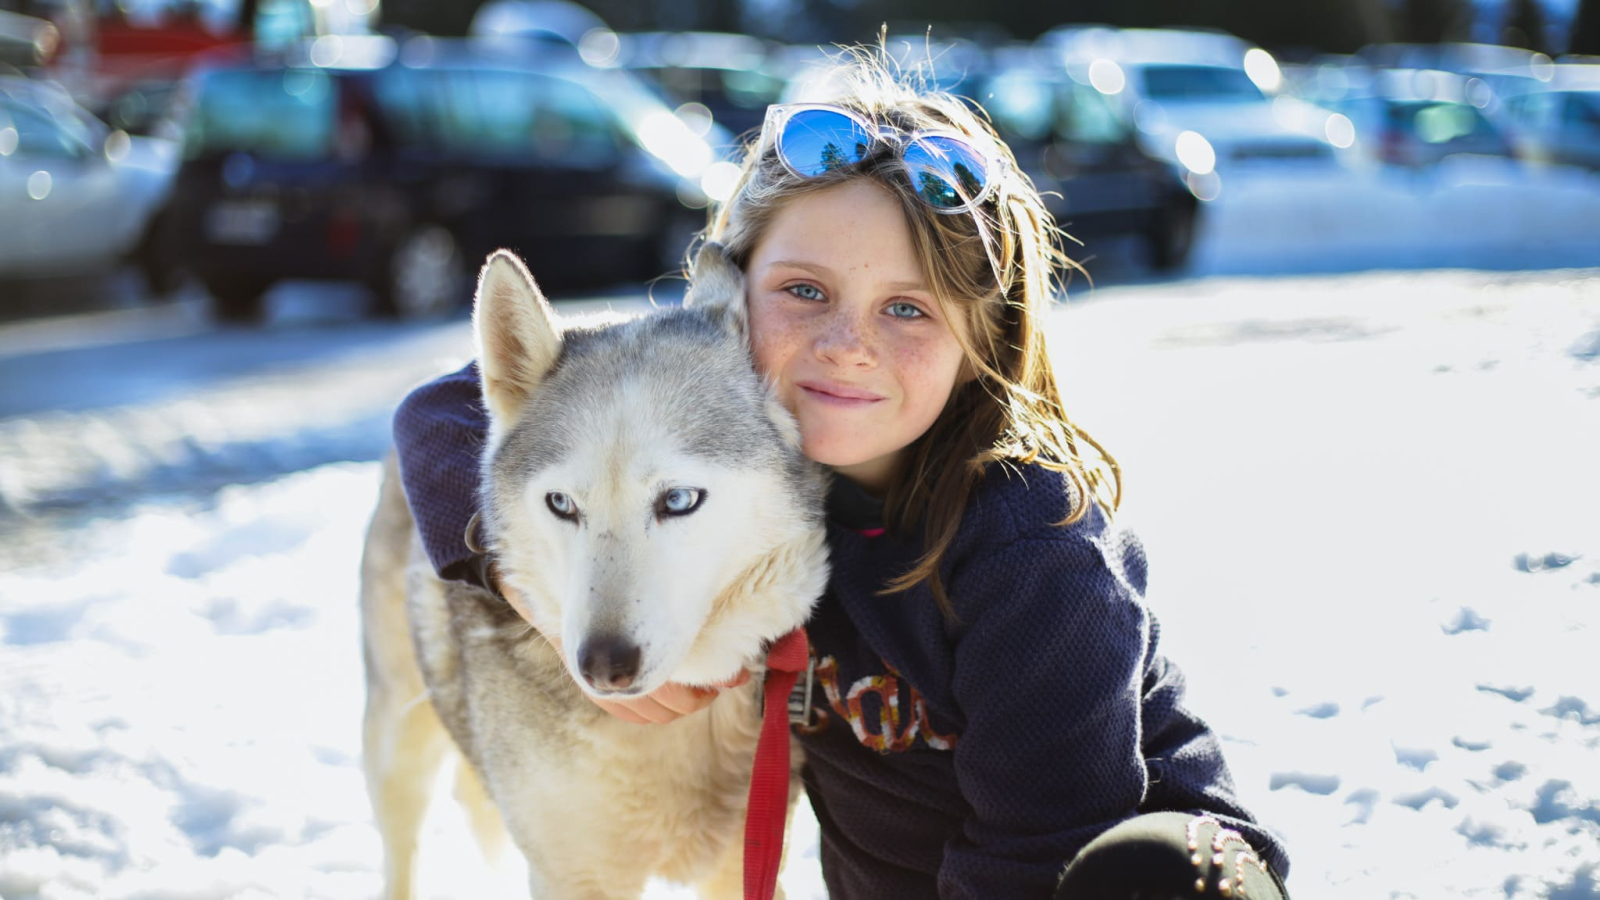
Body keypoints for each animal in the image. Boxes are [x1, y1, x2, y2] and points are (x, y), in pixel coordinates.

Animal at [363, 245, 832, 896]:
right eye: (562, 504)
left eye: (678, 500)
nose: (603, 666)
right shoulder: (570, 876)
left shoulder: (742, 863)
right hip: (397, 744)